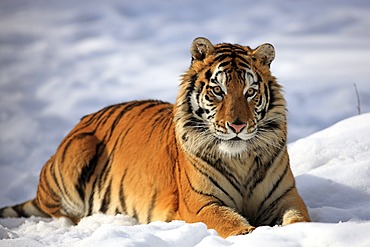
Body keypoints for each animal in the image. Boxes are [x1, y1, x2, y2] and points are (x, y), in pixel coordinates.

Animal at [0, 36, 310, 237]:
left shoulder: (286, 197)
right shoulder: (202, 204)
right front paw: (250, 234)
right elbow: (229, 222)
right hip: (79, 150)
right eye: (218, 90)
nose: (236, 126)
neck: (241, 159)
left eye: (250, 92)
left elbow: (299, 220)